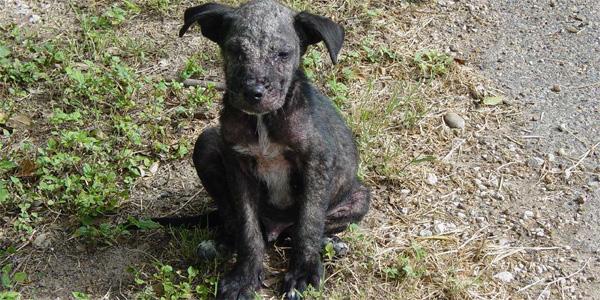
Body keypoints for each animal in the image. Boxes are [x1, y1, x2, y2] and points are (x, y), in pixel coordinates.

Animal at [178, 1, 370, 298]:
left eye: (283, 54)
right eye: (235, 51)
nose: (253, 92)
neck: (263, 120)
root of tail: (276, 229)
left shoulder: (316, 162)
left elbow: (309, 222)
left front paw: (302, 272)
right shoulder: (238, 168)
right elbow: (248, 229)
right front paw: (244, 277)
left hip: (359, 197)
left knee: (299, 230)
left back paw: (328, 243)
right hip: (206, 143)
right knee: (234, 219)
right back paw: (221, 243)